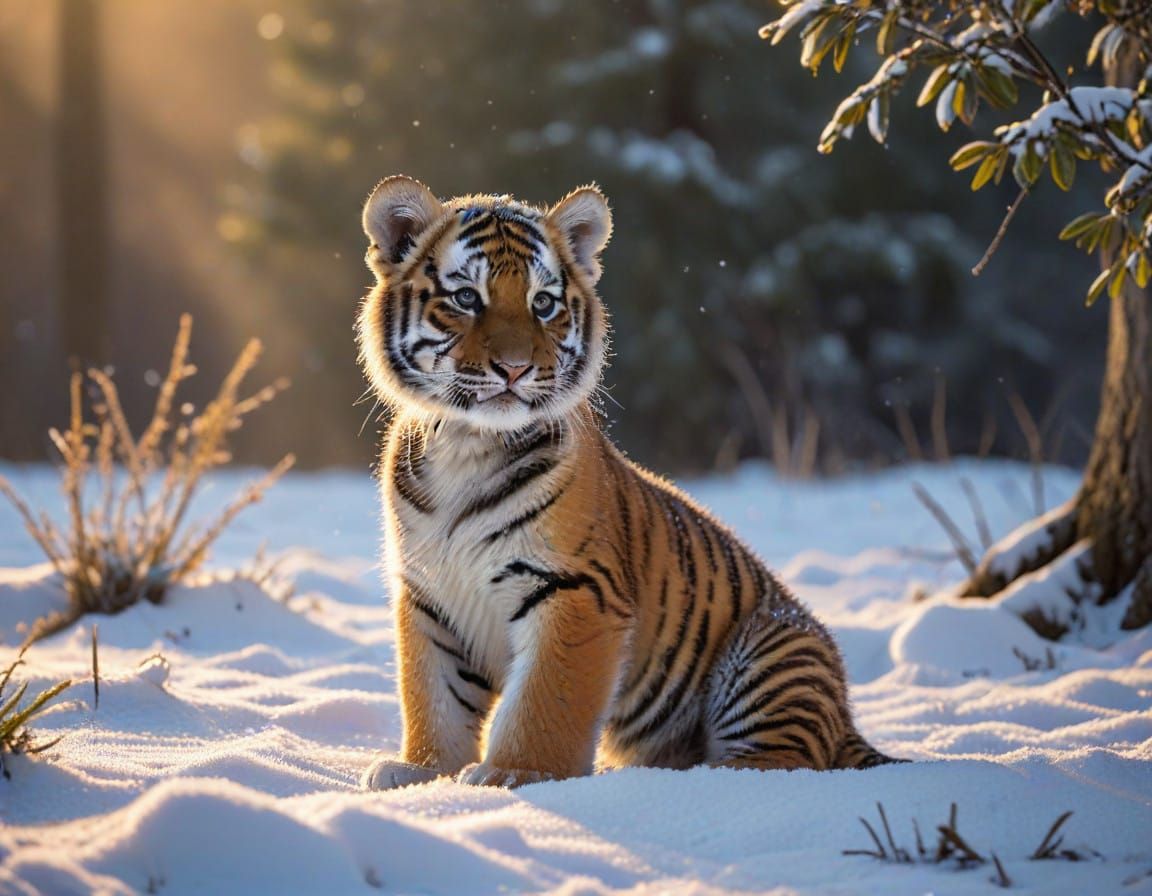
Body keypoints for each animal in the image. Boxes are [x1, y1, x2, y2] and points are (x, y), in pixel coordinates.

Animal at [356, 175, 899, 790]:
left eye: (543, 303)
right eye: (466, 298)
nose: (515, 369)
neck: (468, 446)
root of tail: (846, 718)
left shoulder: (576, 588)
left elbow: (543, 702)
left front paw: (513, 775)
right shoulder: (431, 596)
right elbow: (434, 697)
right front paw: (422, 773)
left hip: (772, 650)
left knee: (782, 763)